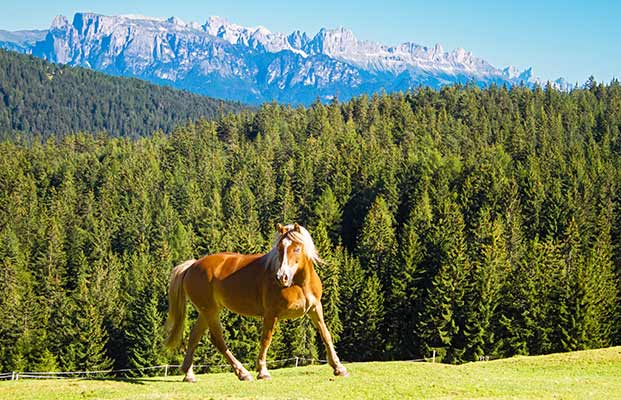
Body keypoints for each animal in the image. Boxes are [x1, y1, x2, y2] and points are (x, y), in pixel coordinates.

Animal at [165, 222, 348, 382]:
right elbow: (266, 340)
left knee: (194, 337)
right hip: (210, 311)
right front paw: (263, 372)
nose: (281, 277)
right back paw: (242, 373)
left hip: (207, 311)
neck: (299, 284)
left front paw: (339, 368)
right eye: (279, 248)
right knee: (218, 340)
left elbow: (326, 334)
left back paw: (189, 374)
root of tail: (192, 266)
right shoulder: (271, 314)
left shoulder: (315, 308)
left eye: (296, 248)